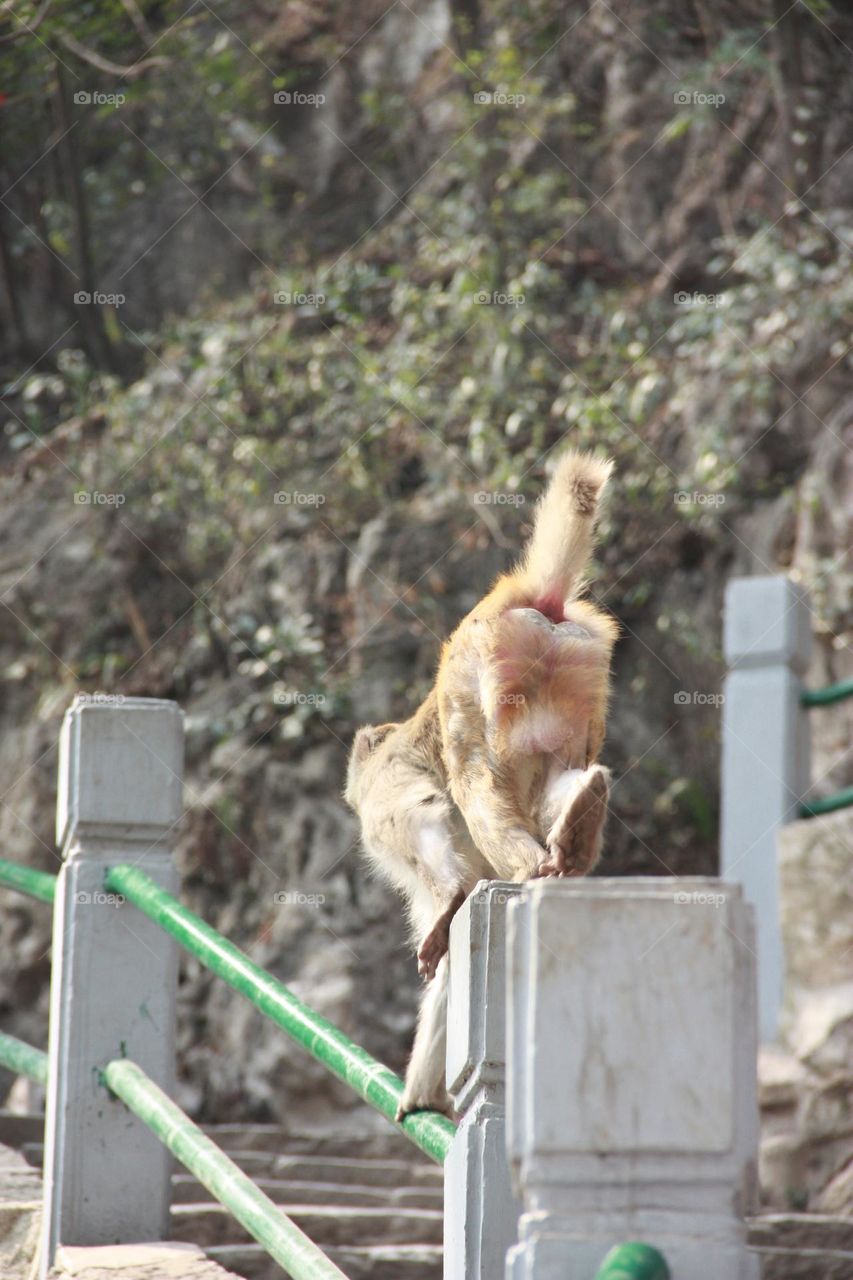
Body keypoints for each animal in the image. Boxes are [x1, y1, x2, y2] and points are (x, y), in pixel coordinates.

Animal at [345, 449, 617, 1118]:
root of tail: (537, 603)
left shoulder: (384, 789)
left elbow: (423, 813)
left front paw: (419, 1099)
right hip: (579, 677)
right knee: (556, 773)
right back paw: (578, 823)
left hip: (476, 673)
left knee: (472, 782)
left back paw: (524, 871)